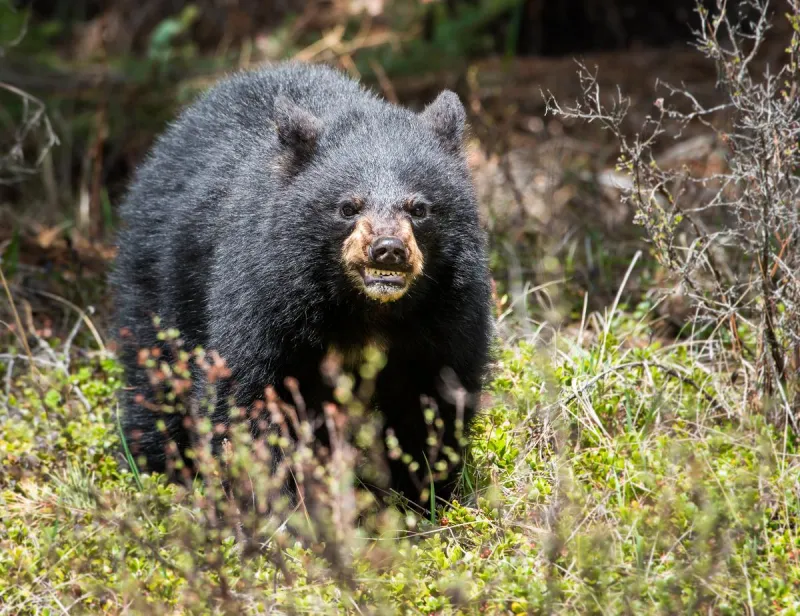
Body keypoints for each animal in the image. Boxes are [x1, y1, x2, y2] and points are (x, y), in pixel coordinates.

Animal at [112, 62, 493, 509]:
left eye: (419, 208)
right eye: (348, 206)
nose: (388, 250)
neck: (367, 309)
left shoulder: (448, 309)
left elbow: (434, 398)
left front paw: (425, 496)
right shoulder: (264, 294)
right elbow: (252, 395)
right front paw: (273, 502)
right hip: (159, 278)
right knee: (153, 379)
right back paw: (157, 472)